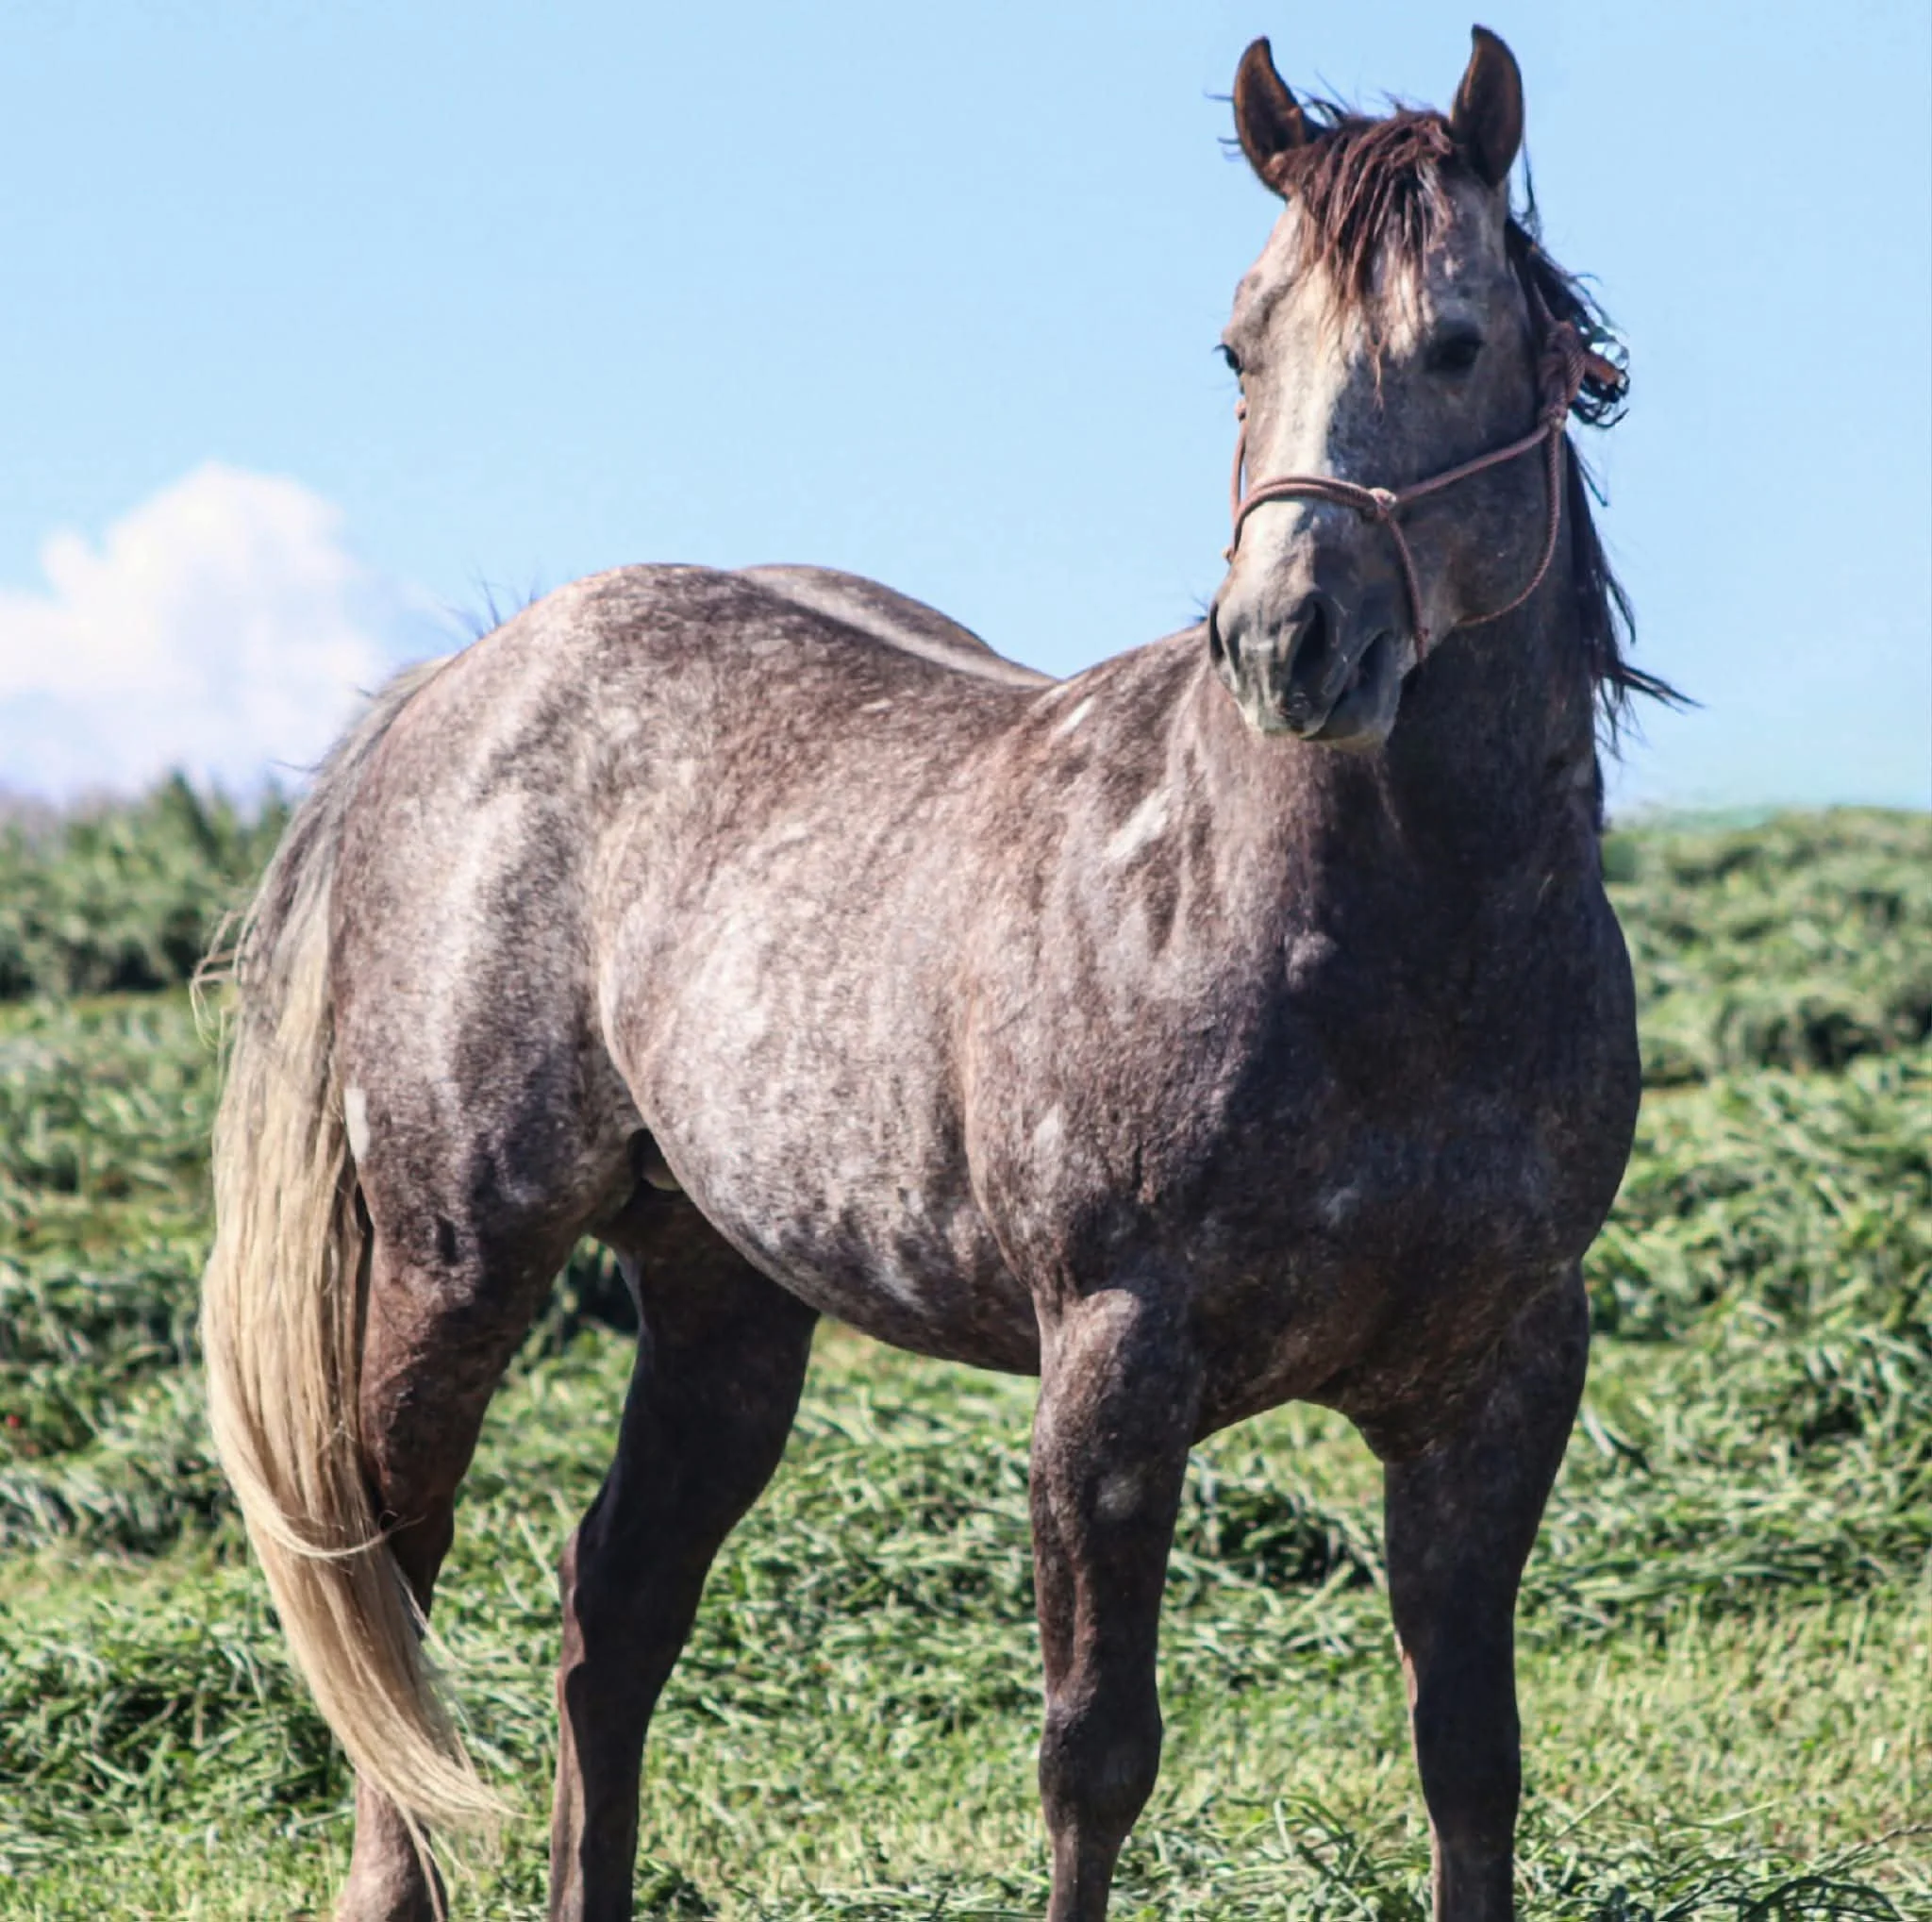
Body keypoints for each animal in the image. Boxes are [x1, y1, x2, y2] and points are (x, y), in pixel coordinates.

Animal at [202, 26, 1668, 1922]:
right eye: (1238, 346)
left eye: (1460, 342)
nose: (1288, 642)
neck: (1392, 954)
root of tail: (466, 674)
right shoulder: (1110, 1370)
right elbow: (1095, 1756)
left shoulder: (1502, 1378)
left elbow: (1469, 1755)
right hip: (458, 1257)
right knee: (398, 1573)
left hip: (727, 1302)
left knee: (617, 1610)